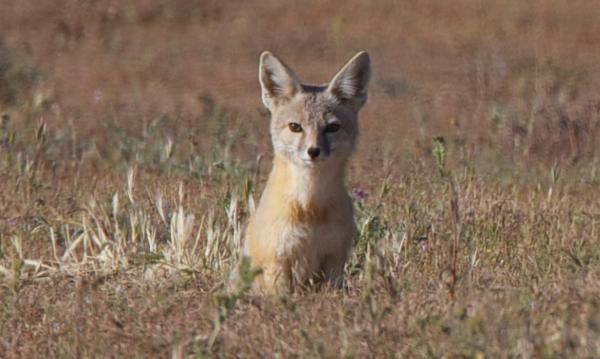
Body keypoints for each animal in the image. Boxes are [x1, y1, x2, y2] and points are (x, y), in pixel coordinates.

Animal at [241, 50, 368, 292]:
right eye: (295, 127)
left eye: (332, 127)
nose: (313, 151)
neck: (310, 209)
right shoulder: (278, 262)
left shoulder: (334, 260)